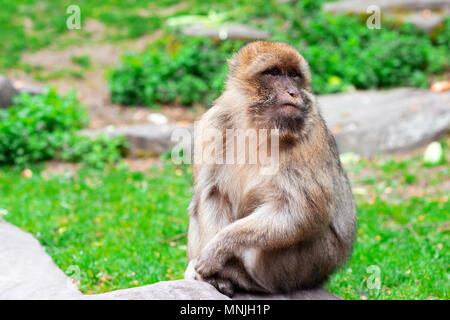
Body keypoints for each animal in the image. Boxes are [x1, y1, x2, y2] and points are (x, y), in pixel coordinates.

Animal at [185, 40, 356, 298]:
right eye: (274, 72)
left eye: (294, 75)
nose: (293, 92)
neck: (258, 125)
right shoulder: (213, 124)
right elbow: (213, 194)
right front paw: (215, 270)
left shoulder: (310, 131)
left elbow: (302, 211)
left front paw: (217, 250)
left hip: (314, 262)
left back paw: (243, 277)